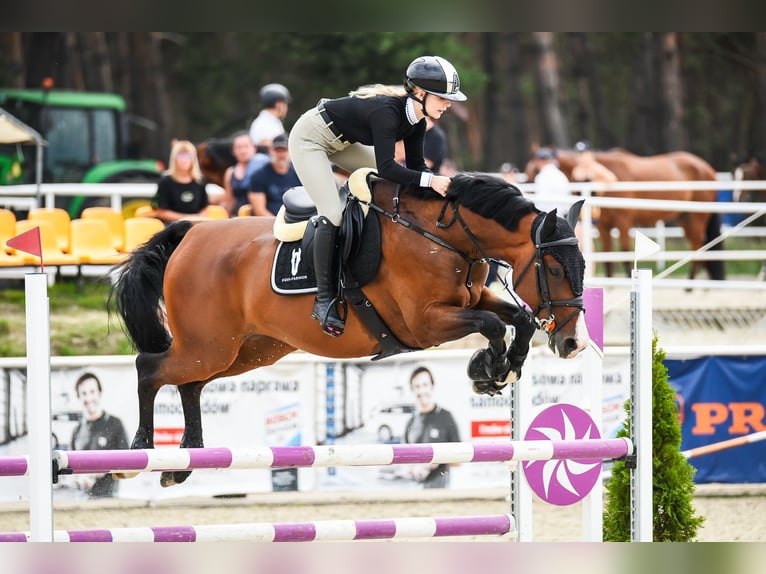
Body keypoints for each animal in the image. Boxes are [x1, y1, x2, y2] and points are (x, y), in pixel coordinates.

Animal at [109, 171, 589, 487]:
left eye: (583, 266)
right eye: (553, 269)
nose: (573, 344)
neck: (444, 236)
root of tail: (191, 235)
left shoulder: (469, 300)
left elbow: (517, 318)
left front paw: (500, 370)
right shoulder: (425, 322)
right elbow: (491, 324)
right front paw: (488, 369)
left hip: (245, 349)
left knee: (190, 384)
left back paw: (184, 461)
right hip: (208, 346)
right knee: (149, 367)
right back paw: (136, 452)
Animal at [525, 147, 725, 279]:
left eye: (535, 168)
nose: (527, 189)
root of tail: (707, 168)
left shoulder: (623, 222)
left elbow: (625, 251)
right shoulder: (604, 227)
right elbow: (608, 257)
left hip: (697, 217)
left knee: (699, 246)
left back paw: (691, 285)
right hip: (685, 218)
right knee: (698, 246)